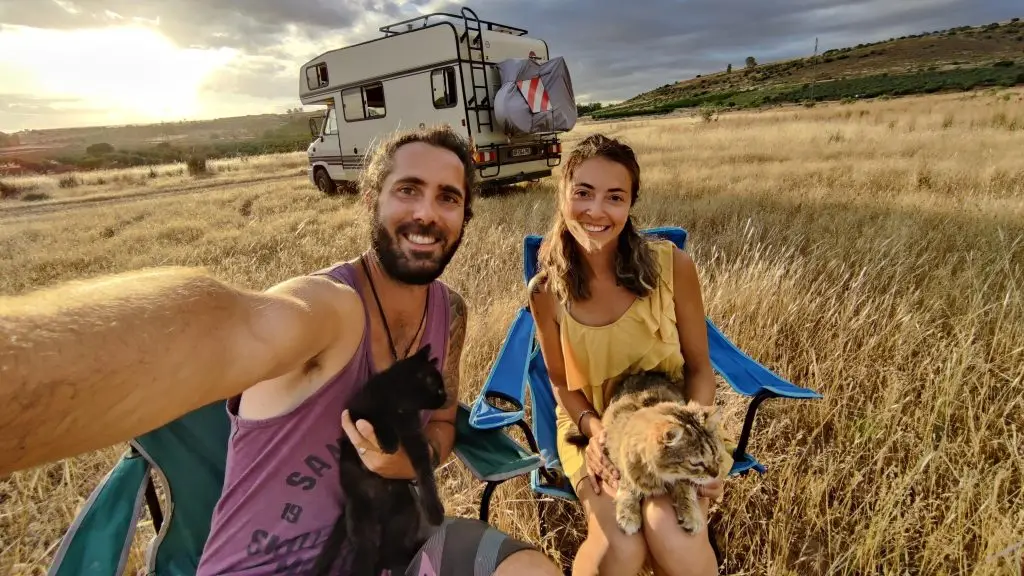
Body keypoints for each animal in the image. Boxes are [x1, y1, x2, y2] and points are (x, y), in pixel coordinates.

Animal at [311, 342, 448, 569]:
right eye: (437, 388)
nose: (446, 397)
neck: (399, 405)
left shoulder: (414, 436)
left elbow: (425, 471)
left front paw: (434, 509)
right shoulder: (354, 413)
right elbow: (376, 418)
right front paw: (389, 440)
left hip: (399, 522)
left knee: (390, 555)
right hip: (362, 524)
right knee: (365, 557)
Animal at [569, 368, 729, 532]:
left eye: (715, 456)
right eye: (696, 463)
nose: (716, 474)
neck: (660, 475)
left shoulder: (683, 479)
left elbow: (686, 488)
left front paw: (691, 513)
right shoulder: (617, 456)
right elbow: (627, 484)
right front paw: (629, 513)